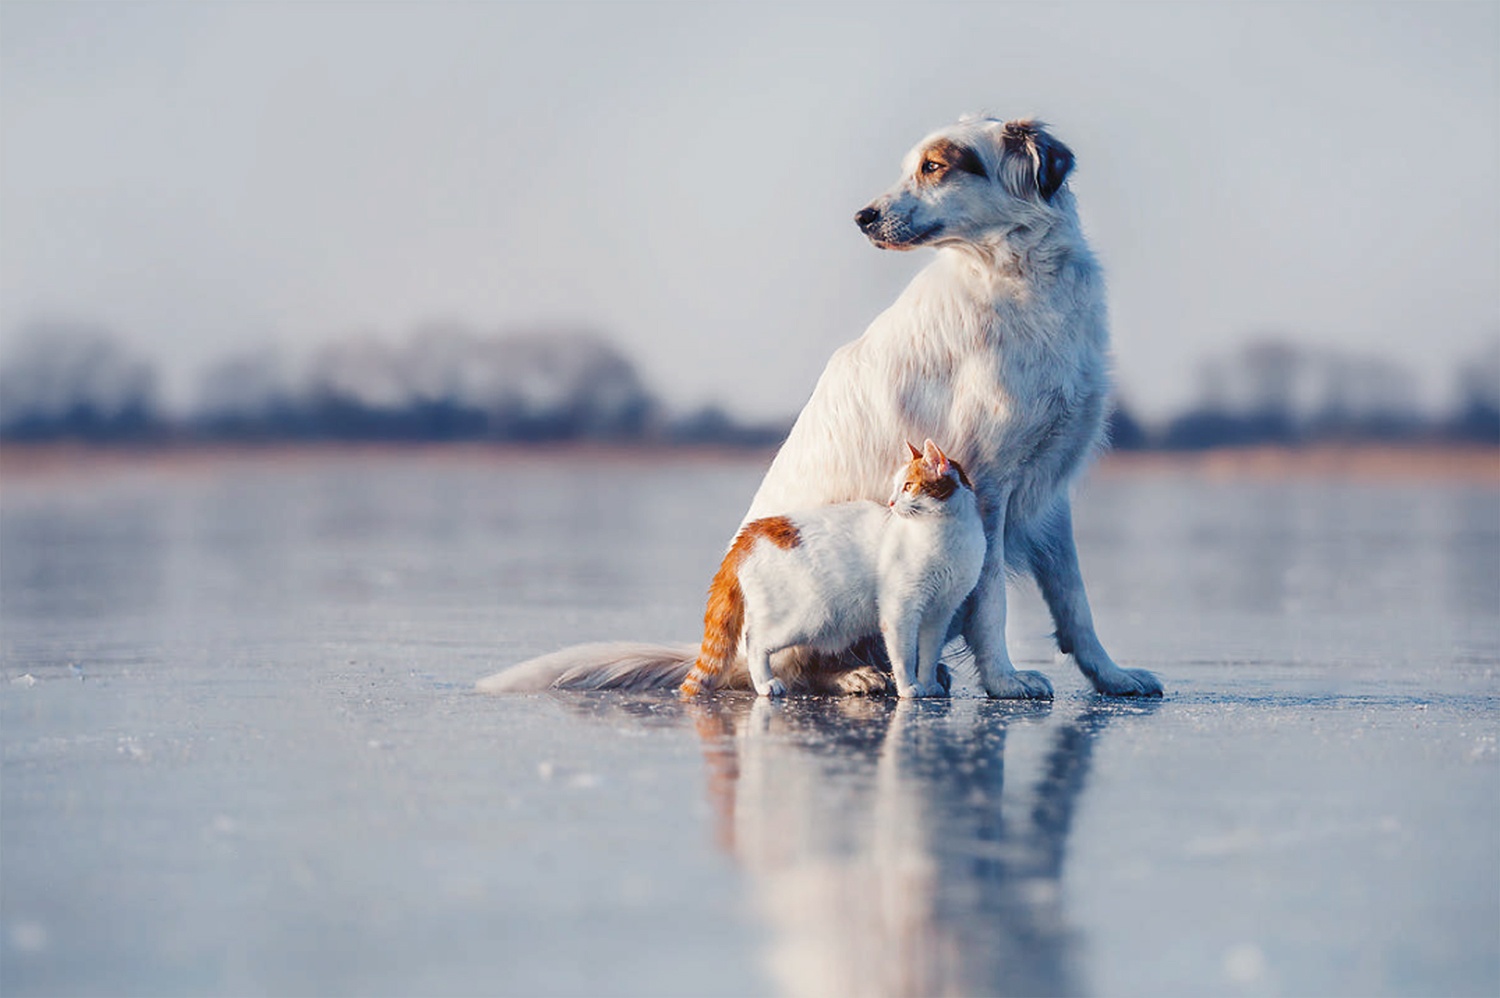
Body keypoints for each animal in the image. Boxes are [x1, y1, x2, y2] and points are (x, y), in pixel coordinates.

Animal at [681, 441, 984, 696]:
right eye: (897, 487)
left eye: (908, 486)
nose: (891, 502)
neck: (945, 534)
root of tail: (749, 534)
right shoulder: (900, 609)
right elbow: (905, 655)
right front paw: (909, 688)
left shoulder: (940, 613)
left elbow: (929, 655)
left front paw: (929, 685)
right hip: (809, 617)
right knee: (755, 642)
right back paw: (766, 684)